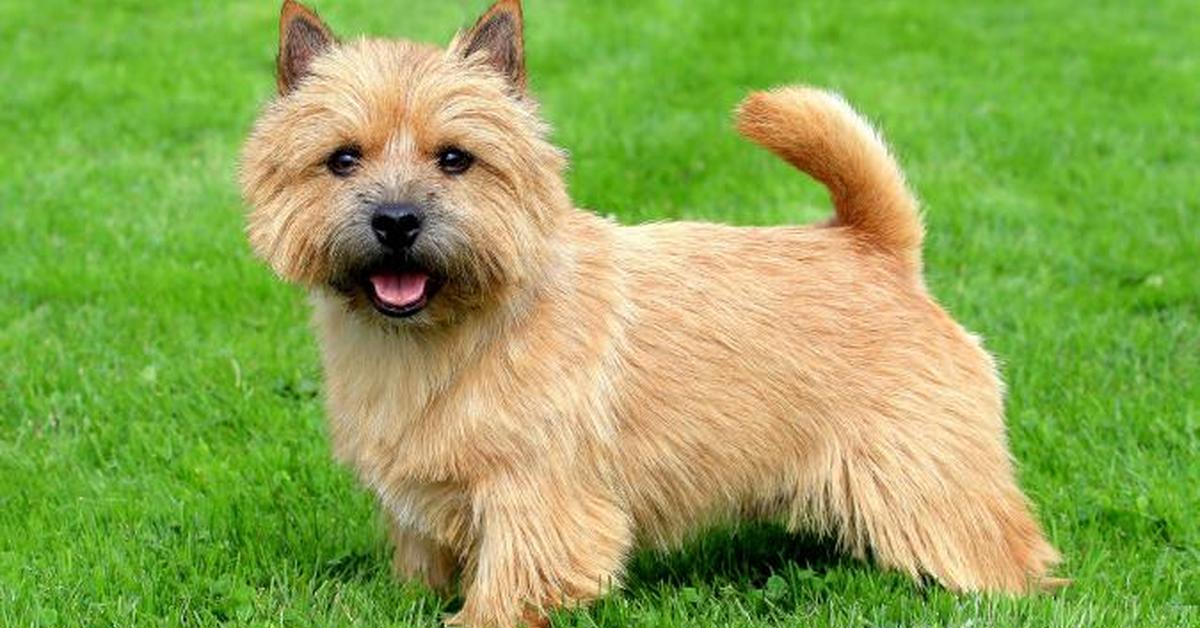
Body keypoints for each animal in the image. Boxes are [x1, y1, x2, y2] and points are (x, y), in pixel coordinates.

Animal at [238, 1, 1065, 624]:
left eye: (455, 158)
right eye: (343, 158)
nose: (397, 220)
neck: (445, 336)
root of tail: (877, 246)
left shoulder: (536, 500)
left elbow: (507, 588)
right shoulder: (423, 498)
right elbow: (421, 564)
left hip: (926, 474)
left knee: (998, 550)